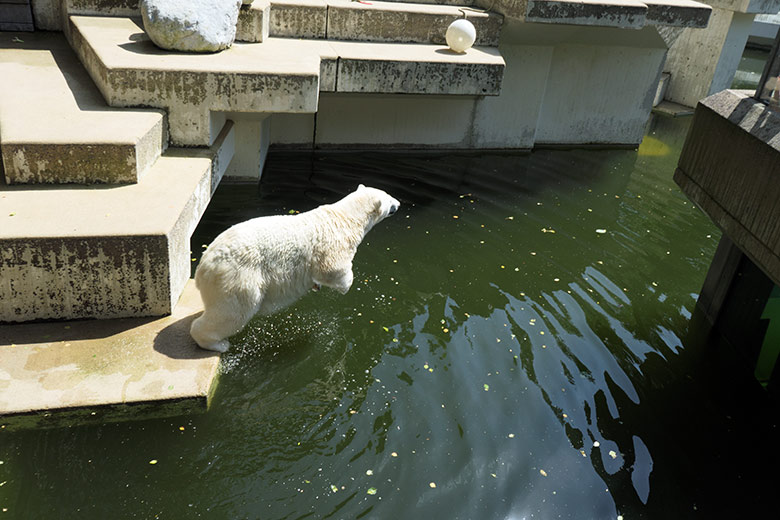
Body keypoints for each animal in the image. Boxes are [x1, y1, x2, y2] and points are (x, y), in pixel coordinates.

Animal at [187, 185, 396, 352]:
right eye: (388, 197)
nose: (398, 203)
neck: (344, 217)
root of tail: (204, 266)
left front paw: (317, 286)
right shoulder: (333, 246)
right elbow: (333, 269)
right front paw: (345, 284)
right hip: (239, 276)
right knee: (234, 313)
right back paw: (218, 344)